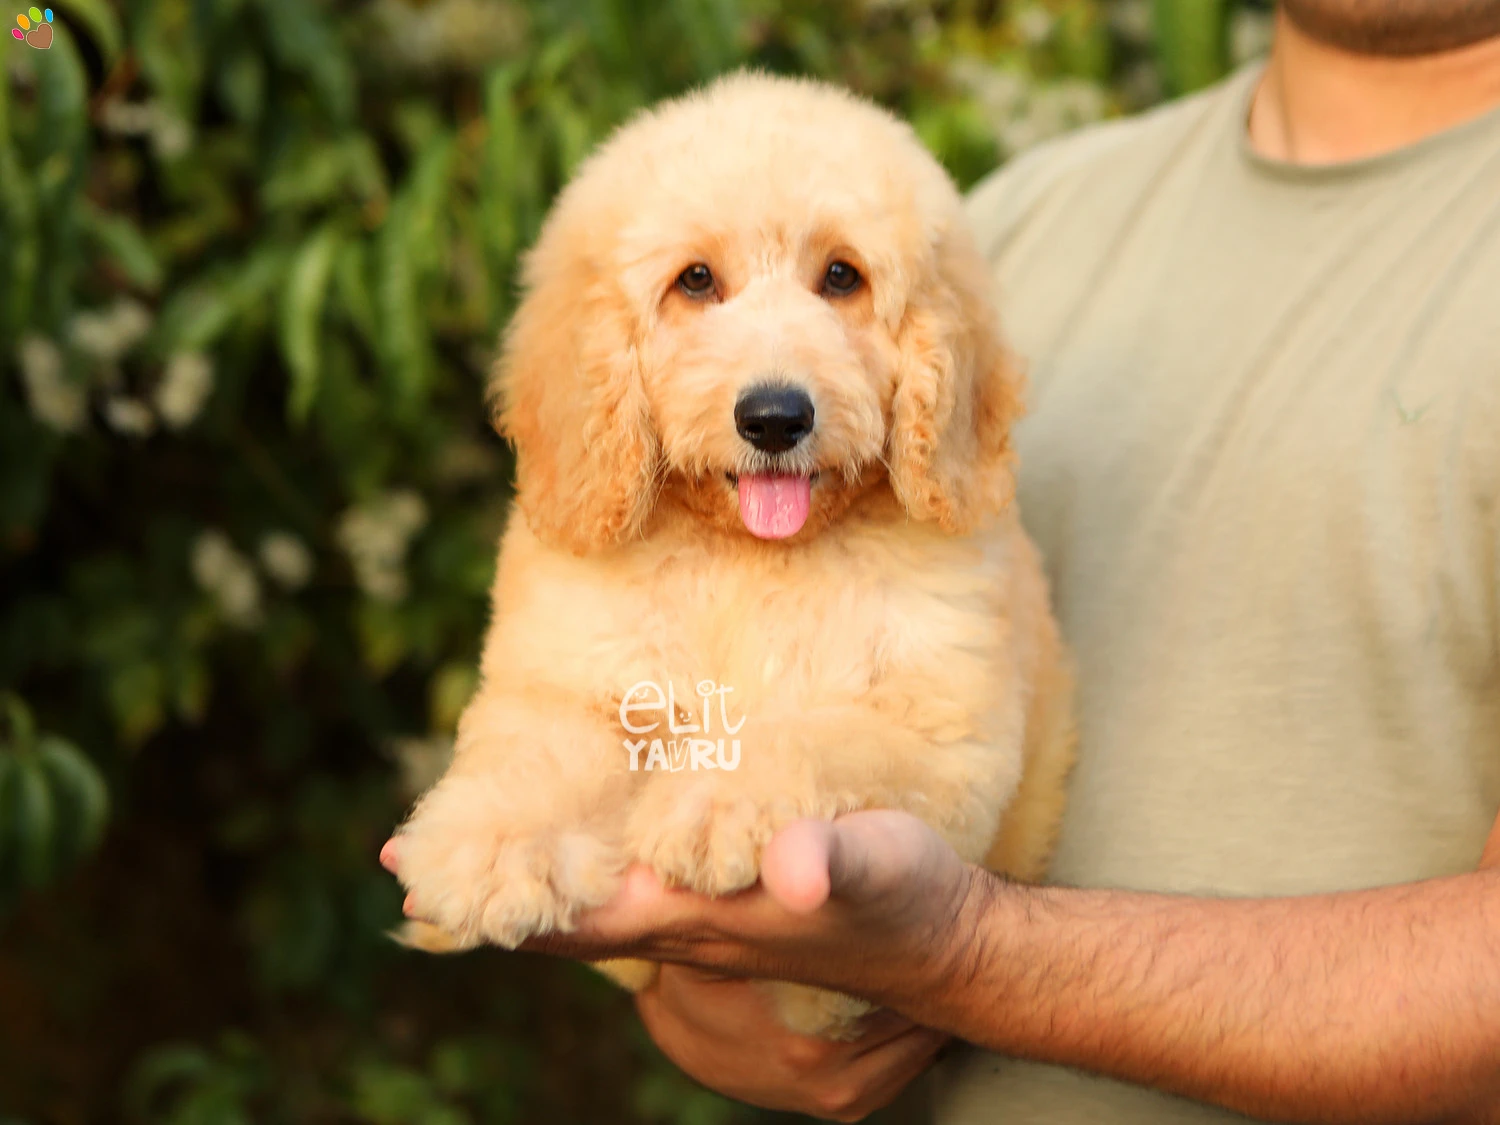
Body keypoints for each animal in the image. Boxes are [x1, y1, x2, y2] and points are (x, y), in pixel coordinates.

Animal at [381, 68, 1074, 1038]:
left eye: (842, 277)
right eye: (696, 280)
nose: (776, 417)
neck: (751, 555)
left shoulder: (946, 740)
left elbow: (814, 734)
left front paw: (715, 804)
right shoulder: (575, 678)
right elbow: (538, 751)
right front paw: (493, 846)